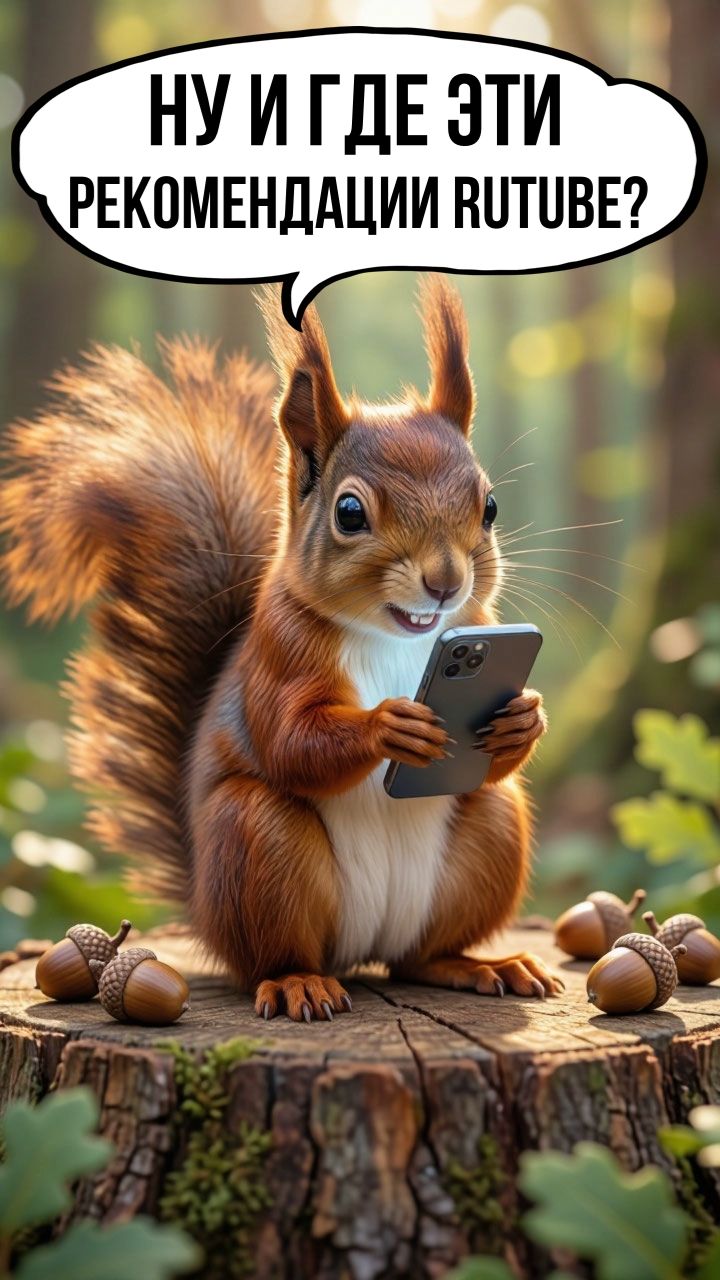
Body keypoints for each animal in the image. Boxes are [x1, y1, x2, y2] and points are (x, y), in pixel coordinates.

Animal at [2, 275, 562, 1021]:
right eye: (349, 513)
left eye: (491, 506)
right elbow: (291, 741)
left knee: (422, 954)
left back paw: (479, 963)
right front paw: (388, 725)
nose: (445, 582)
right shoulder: (278, 654)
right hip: (256, 847)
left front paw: (525, 715)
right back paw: (299, 982)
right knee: (270, 955)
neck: (397, 637)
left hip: (491, 833)